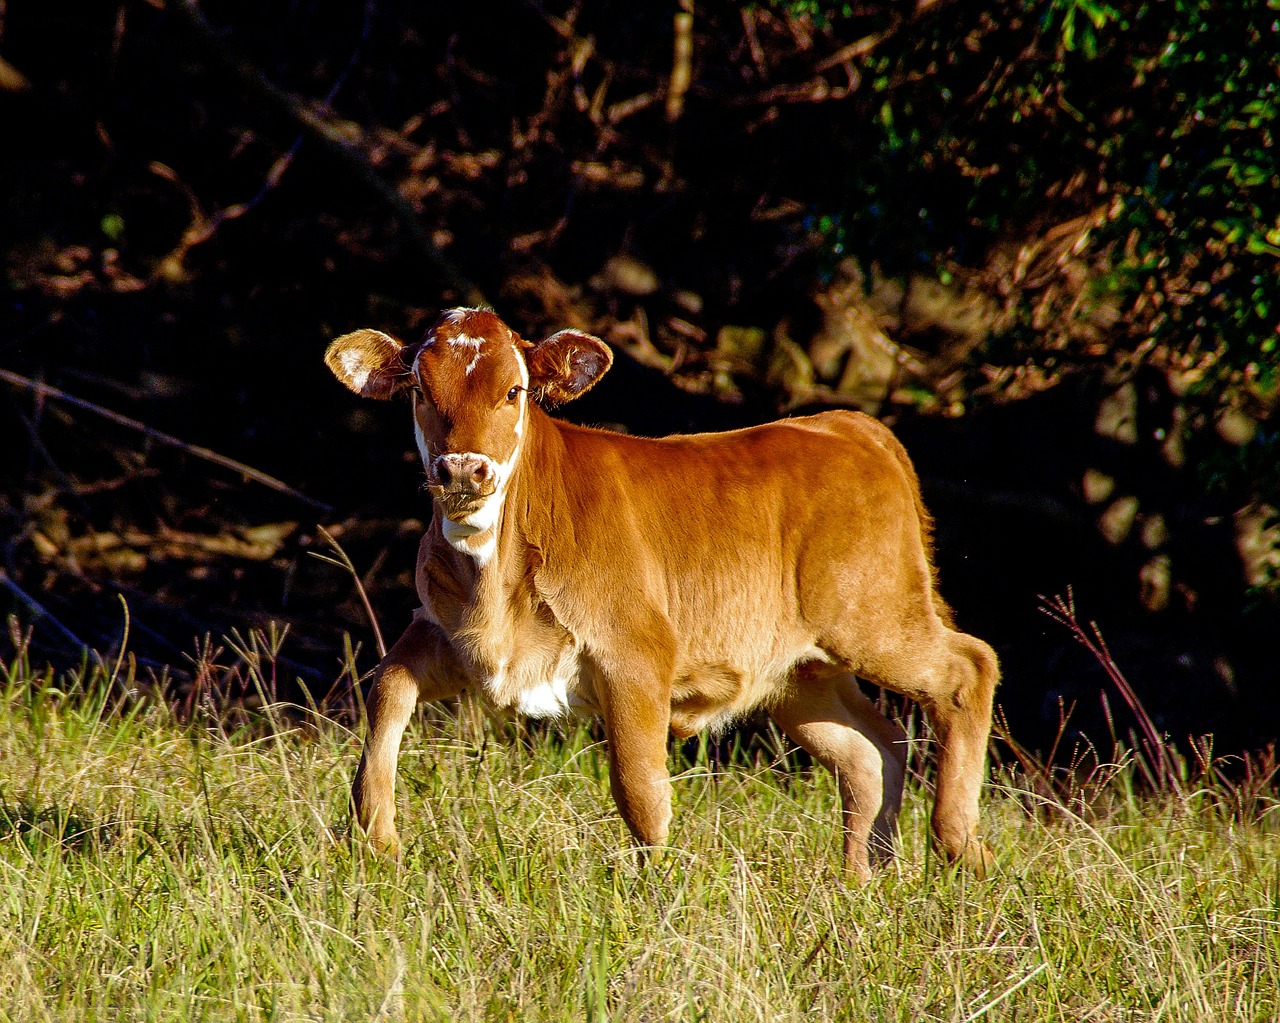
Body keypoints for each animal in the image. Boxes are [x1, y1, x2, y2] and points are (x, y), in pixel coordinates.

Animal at [322, 306, 998, 880]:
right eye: (418, 391)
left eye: (512, 391)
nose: (463, 469)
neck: (495, 580)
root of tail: (848, 425)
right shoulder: (452, 635)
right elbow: (385, 689)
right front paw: (378, 838)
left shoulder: (637, 650)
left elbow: (638, 786)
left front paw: (657, 892)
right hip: (800, 672)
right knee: (870, 750)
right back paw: (861, 880)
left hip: (875, 616)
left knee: (968, 669)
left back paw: (960, 846)